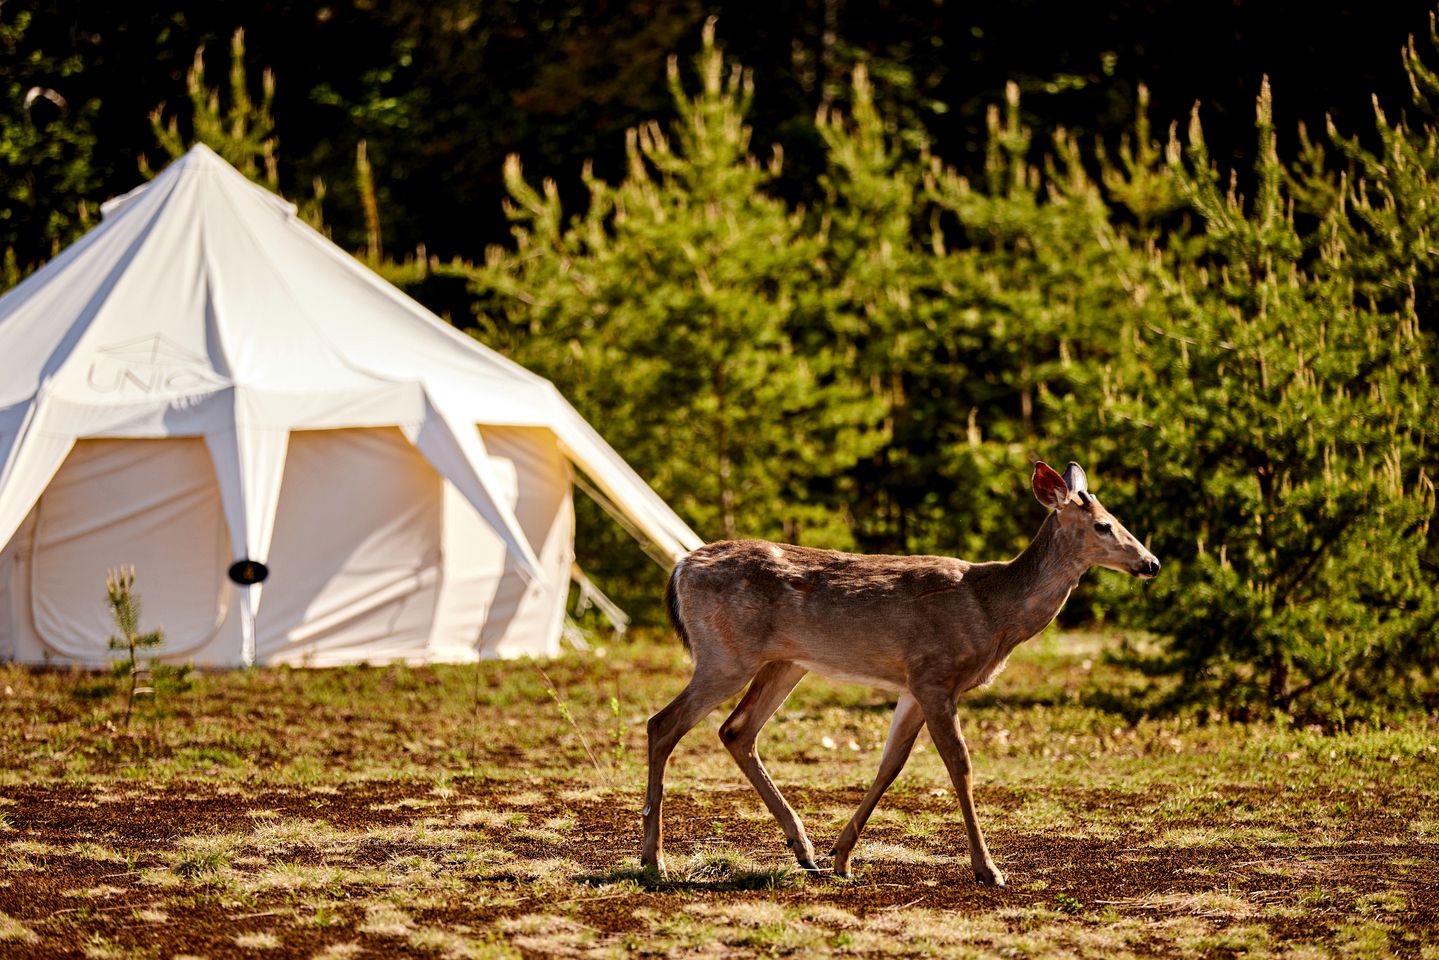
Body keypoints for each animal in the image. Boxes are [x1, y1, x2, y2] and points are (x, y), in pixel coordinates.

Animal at [641, 460, 1156, 892]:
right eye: (1103, 524)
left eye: (1115, 516)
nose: (1151, 563)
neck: (994, 613)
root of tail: (681, 566)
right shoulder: (934, 674)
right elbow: (960, 765)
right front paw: (988, 869)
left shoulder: (913, 686)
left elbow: (890, 764)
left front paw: (842, 857)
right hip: (725, 654)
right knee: (662, 723)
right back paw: (654, 861)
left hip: (785, 662)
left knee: (736, 730)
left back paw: (803, 851)